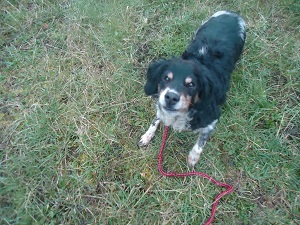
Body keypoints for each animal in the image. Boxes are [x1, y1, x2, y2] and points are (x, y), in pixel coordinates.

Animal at [138, 10, 246, 166]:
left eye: (191, 84)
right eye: (166, 78)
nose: (171, 97)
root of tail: (232, 14)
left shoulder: (212, 117)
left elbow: (202, 140)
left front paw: (193, 157)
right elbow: (156, 118)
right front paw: (147, 135)